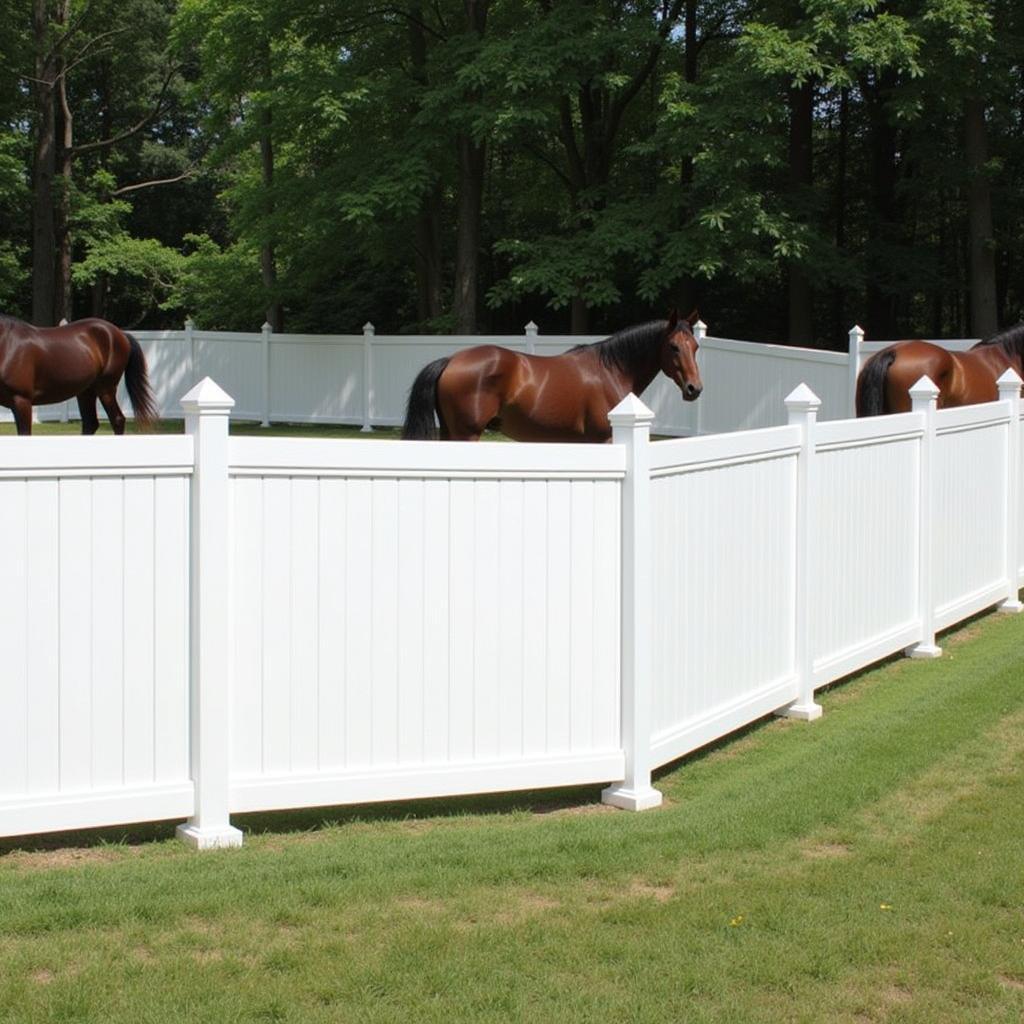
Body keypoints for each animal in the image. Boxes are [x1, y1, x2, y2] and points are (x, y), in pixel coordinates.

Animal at [0, 315, 157, 436]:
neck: (7, 344)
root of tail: (120, 334)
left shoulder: (22, 401)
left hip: (106, 389)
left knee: (117, 420)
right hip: (86, 392)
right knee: (90, 424)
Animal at [401, 309, 704, 442]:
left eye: (695, 346)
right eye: (674, 347)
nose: (694, 389)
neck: (612, 371)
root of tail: (450, 361)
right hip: (467, 434)